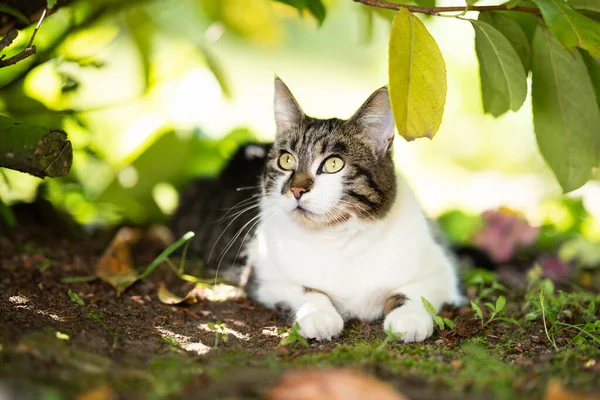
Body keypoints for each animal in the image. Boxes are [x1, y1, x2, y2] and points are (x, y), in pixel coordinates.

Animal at [171, 79, 462, 344]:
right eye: (286, 160)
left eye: (333, 164)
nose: (296, 189)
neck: (337, 239)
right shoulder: (264, 276)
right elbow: (309, 291)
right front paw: (318, 315)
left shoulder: (441, 271)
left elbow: (414, 293)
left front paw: (409, 318)